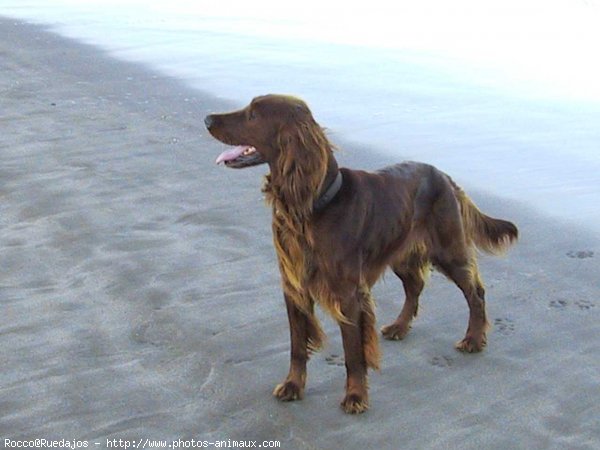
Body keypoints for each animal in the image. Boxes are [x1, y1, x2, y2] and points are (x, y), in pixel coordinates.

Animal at [205, 95, 516, 414]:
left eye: (253, 115)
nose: (207, 119)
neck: (312, 205)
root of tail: (444, 176)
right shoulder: (293, 287)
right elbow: (296, 345)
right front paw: (293, 385)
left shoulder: (348, 294)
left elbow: (353, 352)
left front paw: (355, 396)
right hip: (400, 252)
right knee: (415, 285)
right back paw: (400, 326)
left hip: (448, 249)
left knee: (475, 292)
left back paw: (473, 339)